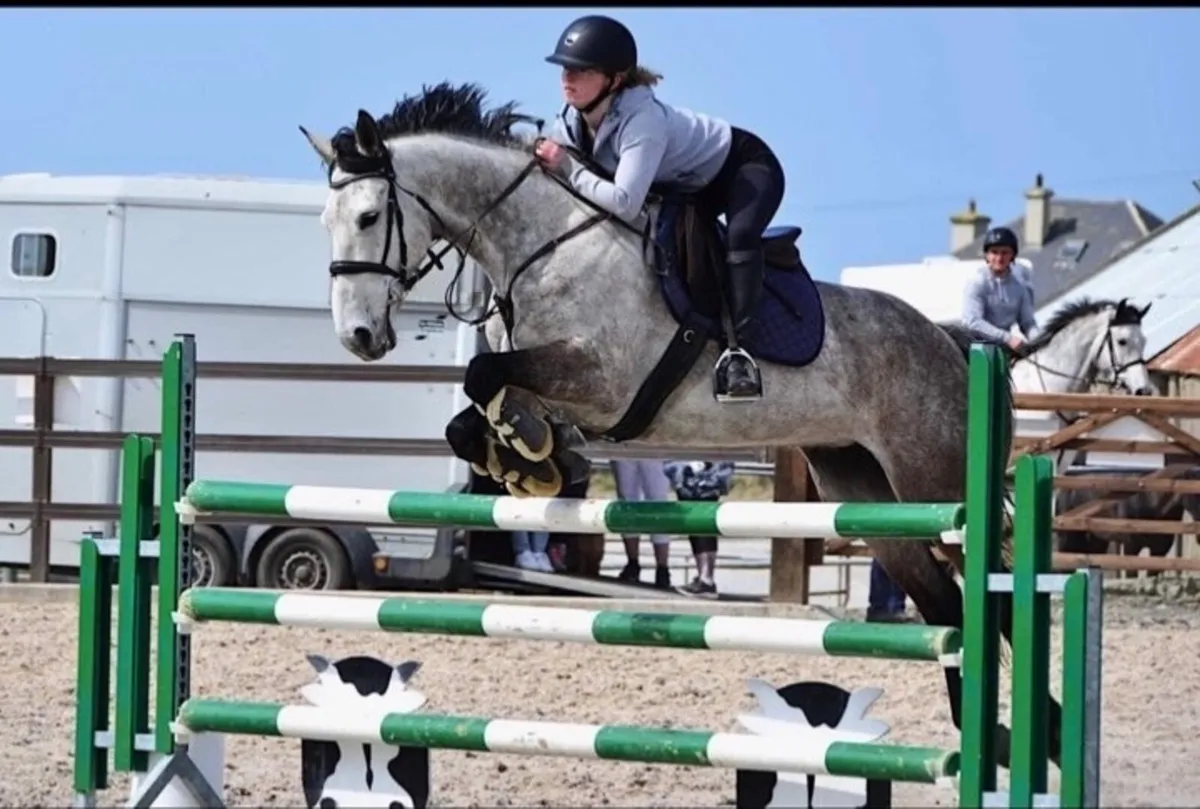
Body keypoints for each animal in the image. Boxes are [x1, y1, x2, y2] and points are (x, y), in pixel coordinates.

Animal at [296, 81, 1153, 771]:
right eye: (326, 220)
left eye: (369, 215)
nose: (359, 337)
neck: (544, 245)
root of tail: (950, 342)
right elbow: (475, 410)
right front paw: (528, 458)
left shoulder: (604, 382)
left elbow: (486, 379)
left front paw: (531, 450)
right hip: (866, 490)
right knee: (947, 609)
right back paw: (985, 739)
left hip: (934, 481)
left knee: (994, 599)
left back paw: (1039, 736)